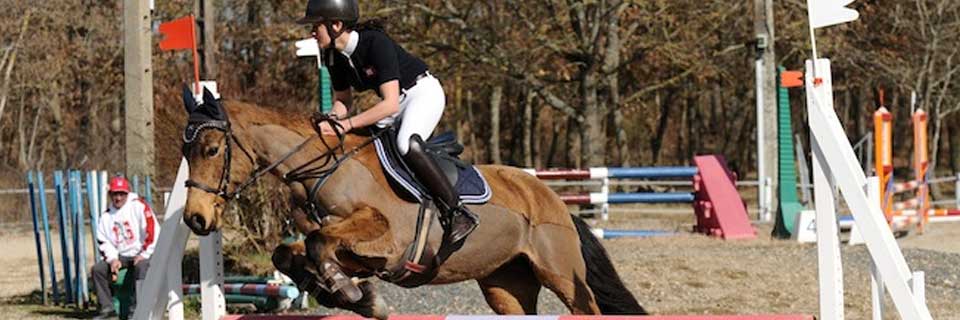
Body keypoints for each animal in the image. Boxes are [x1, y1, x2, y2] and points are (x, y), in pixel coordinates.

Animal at [180, 88, 644, 318]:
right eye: (186, 151)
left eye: (211, 149)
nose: (195, 219)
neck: (322, 169)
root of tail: (552, 200)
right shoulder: (350, 250)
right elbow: (292, 251)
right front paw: (348, 295)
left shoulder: (388, 241)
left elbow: (319, 244)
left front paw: (354, 294)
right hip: (506, 284)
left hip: (560, 273)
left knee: (588, 309)